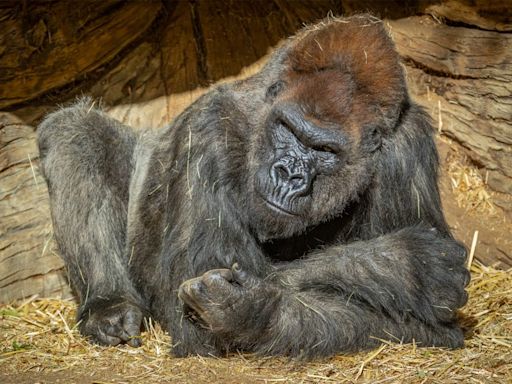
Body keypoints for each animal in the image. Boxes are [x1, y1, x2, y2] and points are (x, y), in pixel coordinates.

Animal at [37, 14, 468, 356]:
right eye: (288, 130)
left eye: (324, 149)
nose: (289, 175)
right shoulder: (208, 129)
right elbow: (193, 307)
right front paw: (406, 264)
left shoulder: (407, 147)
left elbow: (428, 329)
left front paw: (250, 311)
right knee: (75, 132)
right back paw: (109, 306)